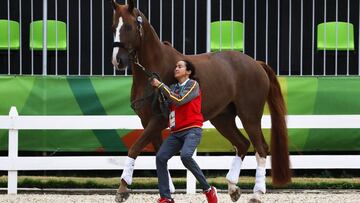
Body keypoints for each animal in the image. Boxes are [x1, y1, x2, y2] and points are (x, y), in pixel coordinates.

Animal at [111, 0, 292, 202]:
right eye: (113, 27)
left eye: (129, 26)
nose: (118, 60)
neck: (154, 68)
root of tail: (256, 64)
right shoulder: (147, 121)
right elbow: (159, 154)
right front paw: (168, 190)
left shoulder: (158, 120)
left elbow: (134, 148)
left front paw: (122, 190)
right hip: (222, 118)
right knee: (242, 144)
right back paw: (233, 188)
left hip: (250, 116)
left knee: (261, 149)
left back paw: (257, 193)